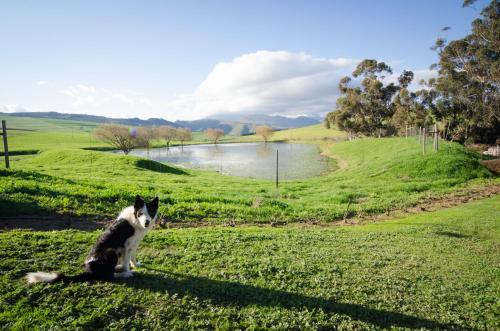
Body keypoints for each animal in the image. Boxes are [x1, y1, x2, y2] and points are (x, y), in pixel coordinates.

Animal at [25, 196, 158, 284]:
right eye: (141, 213)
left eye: (150, 212)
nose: (147, 222)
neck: (135, 220)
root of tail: (90, 270)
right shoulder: (127, 246)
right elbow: (126, 262)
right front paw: (128, 269)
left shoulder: (134, 245)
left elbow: (132, 258)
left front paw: (135, 265)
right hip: (111, 251)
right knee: (108, 276)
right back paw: (124, 274)